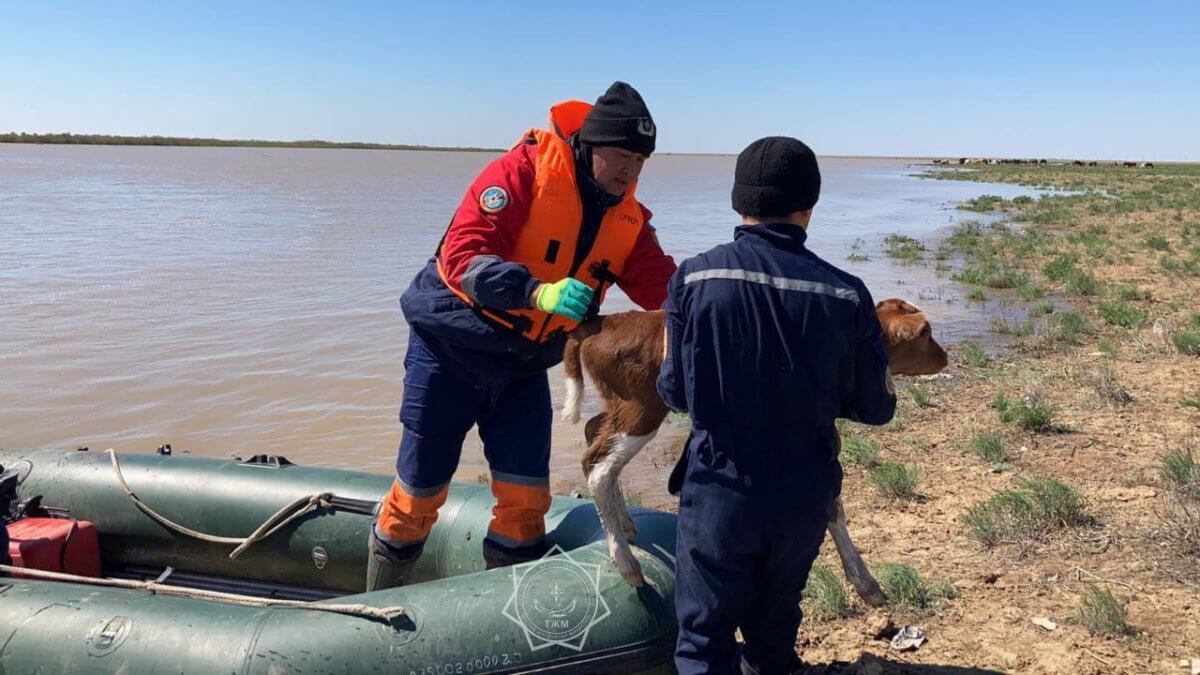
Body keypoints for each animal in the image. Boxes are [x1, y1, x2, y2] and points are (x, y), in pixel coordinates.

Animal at [559, 296, 945, 595]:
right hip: (641, 409)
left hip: (623, 407)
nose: (945, 356)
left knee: (594, 436)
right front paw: (864, 581)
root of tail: (603, 323)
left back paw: (625, 524)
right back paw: (625, 561)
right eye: (925, 333)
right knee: (598, 466)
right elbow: (831, 506)